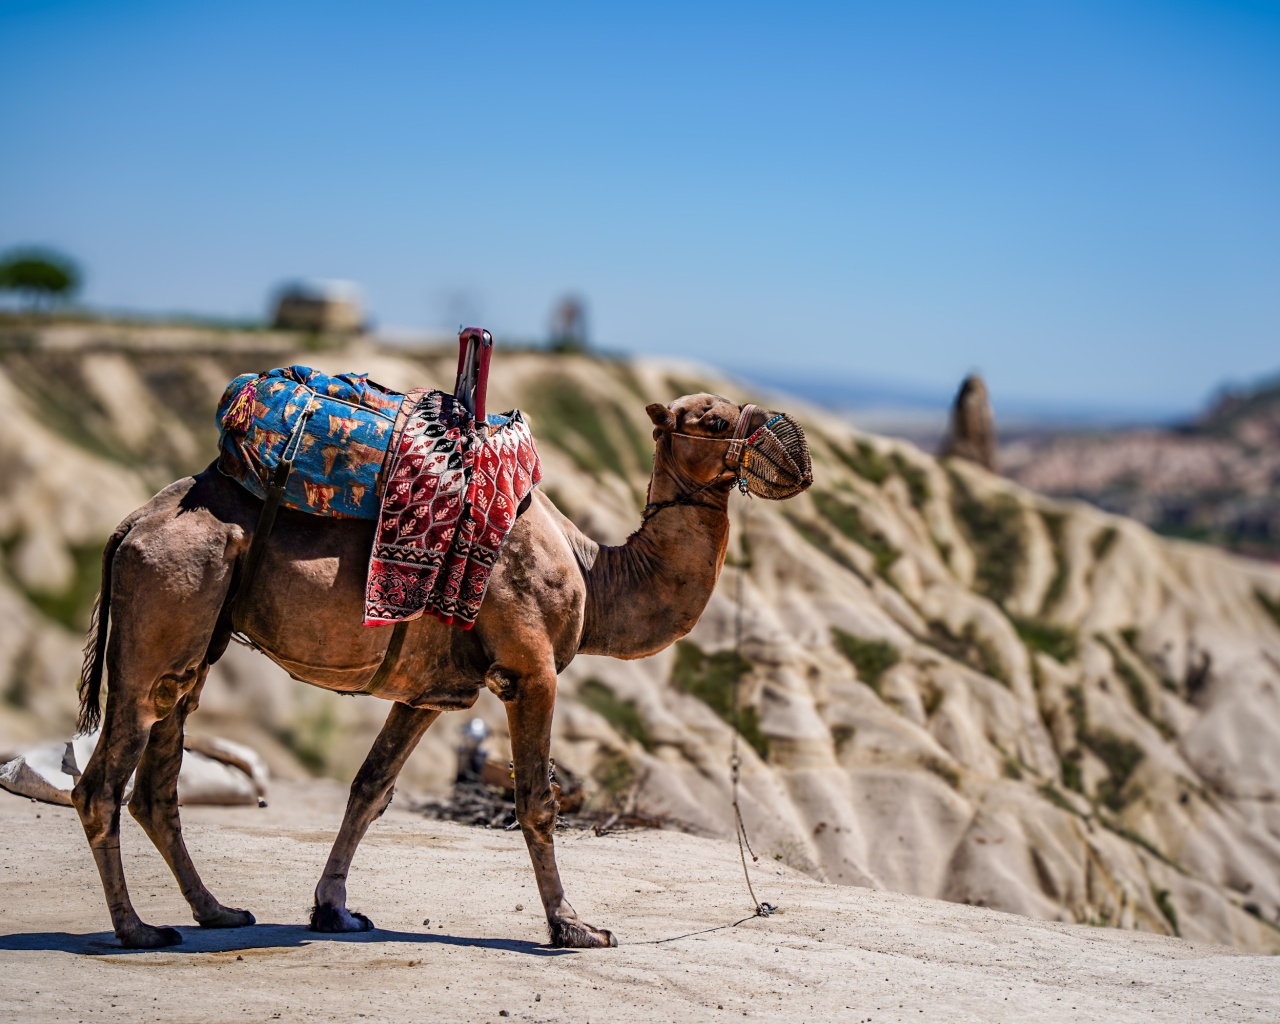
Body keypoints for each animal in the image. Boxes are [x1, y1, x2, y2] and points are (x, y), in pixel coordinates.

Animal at [71, 391, 809, 949]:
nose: (794, 449)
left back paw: (216, 911)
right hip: (165, 604)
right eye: (710, 419)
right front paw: (573, 927)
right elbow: (536, 801)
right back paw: (137, 929)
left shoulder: (426, 693)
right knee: (103, 780)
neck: (594, 574)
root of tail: (133, 522)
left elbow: (369, 789)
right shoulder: (530, 671)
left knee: (158, 778)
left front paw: (334, 910)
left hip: (199, 638)